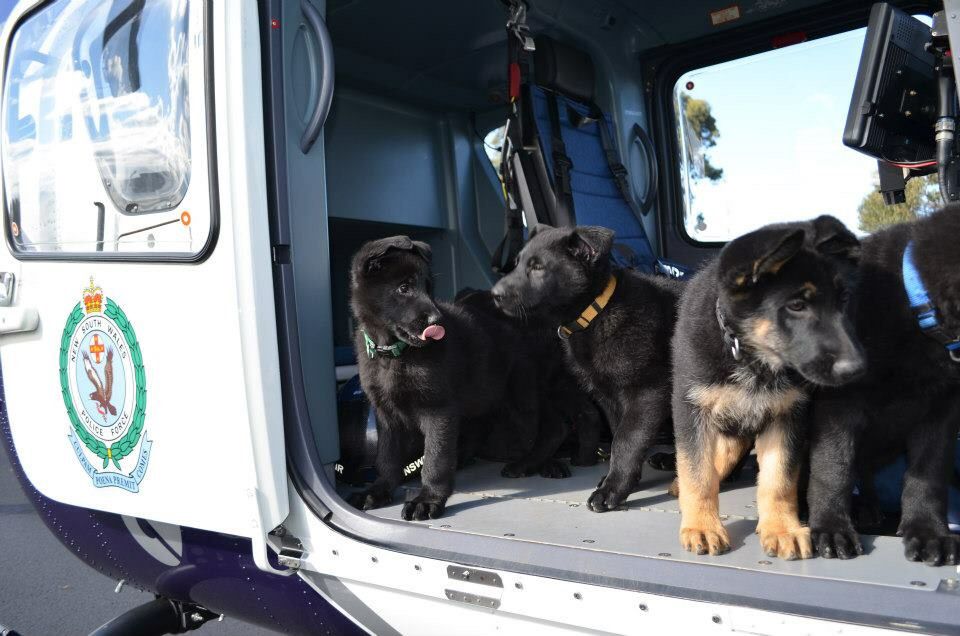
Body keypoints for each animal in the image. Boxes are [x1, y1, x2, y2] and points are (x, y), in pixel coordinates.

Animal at [348, 236, 536, 520]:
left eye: (428, 288)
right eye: (404, 288)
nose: (437, 320)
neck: (393, 354)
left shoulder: (438, 409)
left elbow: (435, 458)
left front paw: (428, 500)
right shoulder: (387, 415)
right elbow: (387, 457)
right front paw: (378, 490)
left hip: (520, 393)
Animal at [492, 225, 680, 512]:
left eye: (538, 267)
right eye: (517, 263)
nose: (494, 294)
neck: (595, 312)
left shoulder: (647, 392)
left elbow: (627, 439)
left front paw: (612, 490)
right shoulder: (609, 398)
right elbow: (618, 437)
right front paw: (619, 482)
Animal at [672, 216, 868, 560]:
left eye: (842, 301)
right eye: (796, 305)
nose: (855, 370)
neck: (750, 355)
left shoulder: (788, 416)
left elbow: (779, 479)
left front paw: (782, 529)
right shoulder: (691, 408)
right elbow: (697, 474)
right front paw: (702, 526)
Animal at [808, 207, 960, 568]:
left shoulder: (941, 411)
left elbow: (928, 472)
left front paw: (928, 532)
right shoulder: (839, 402)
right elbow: (833, 465)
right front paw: (831, 528)